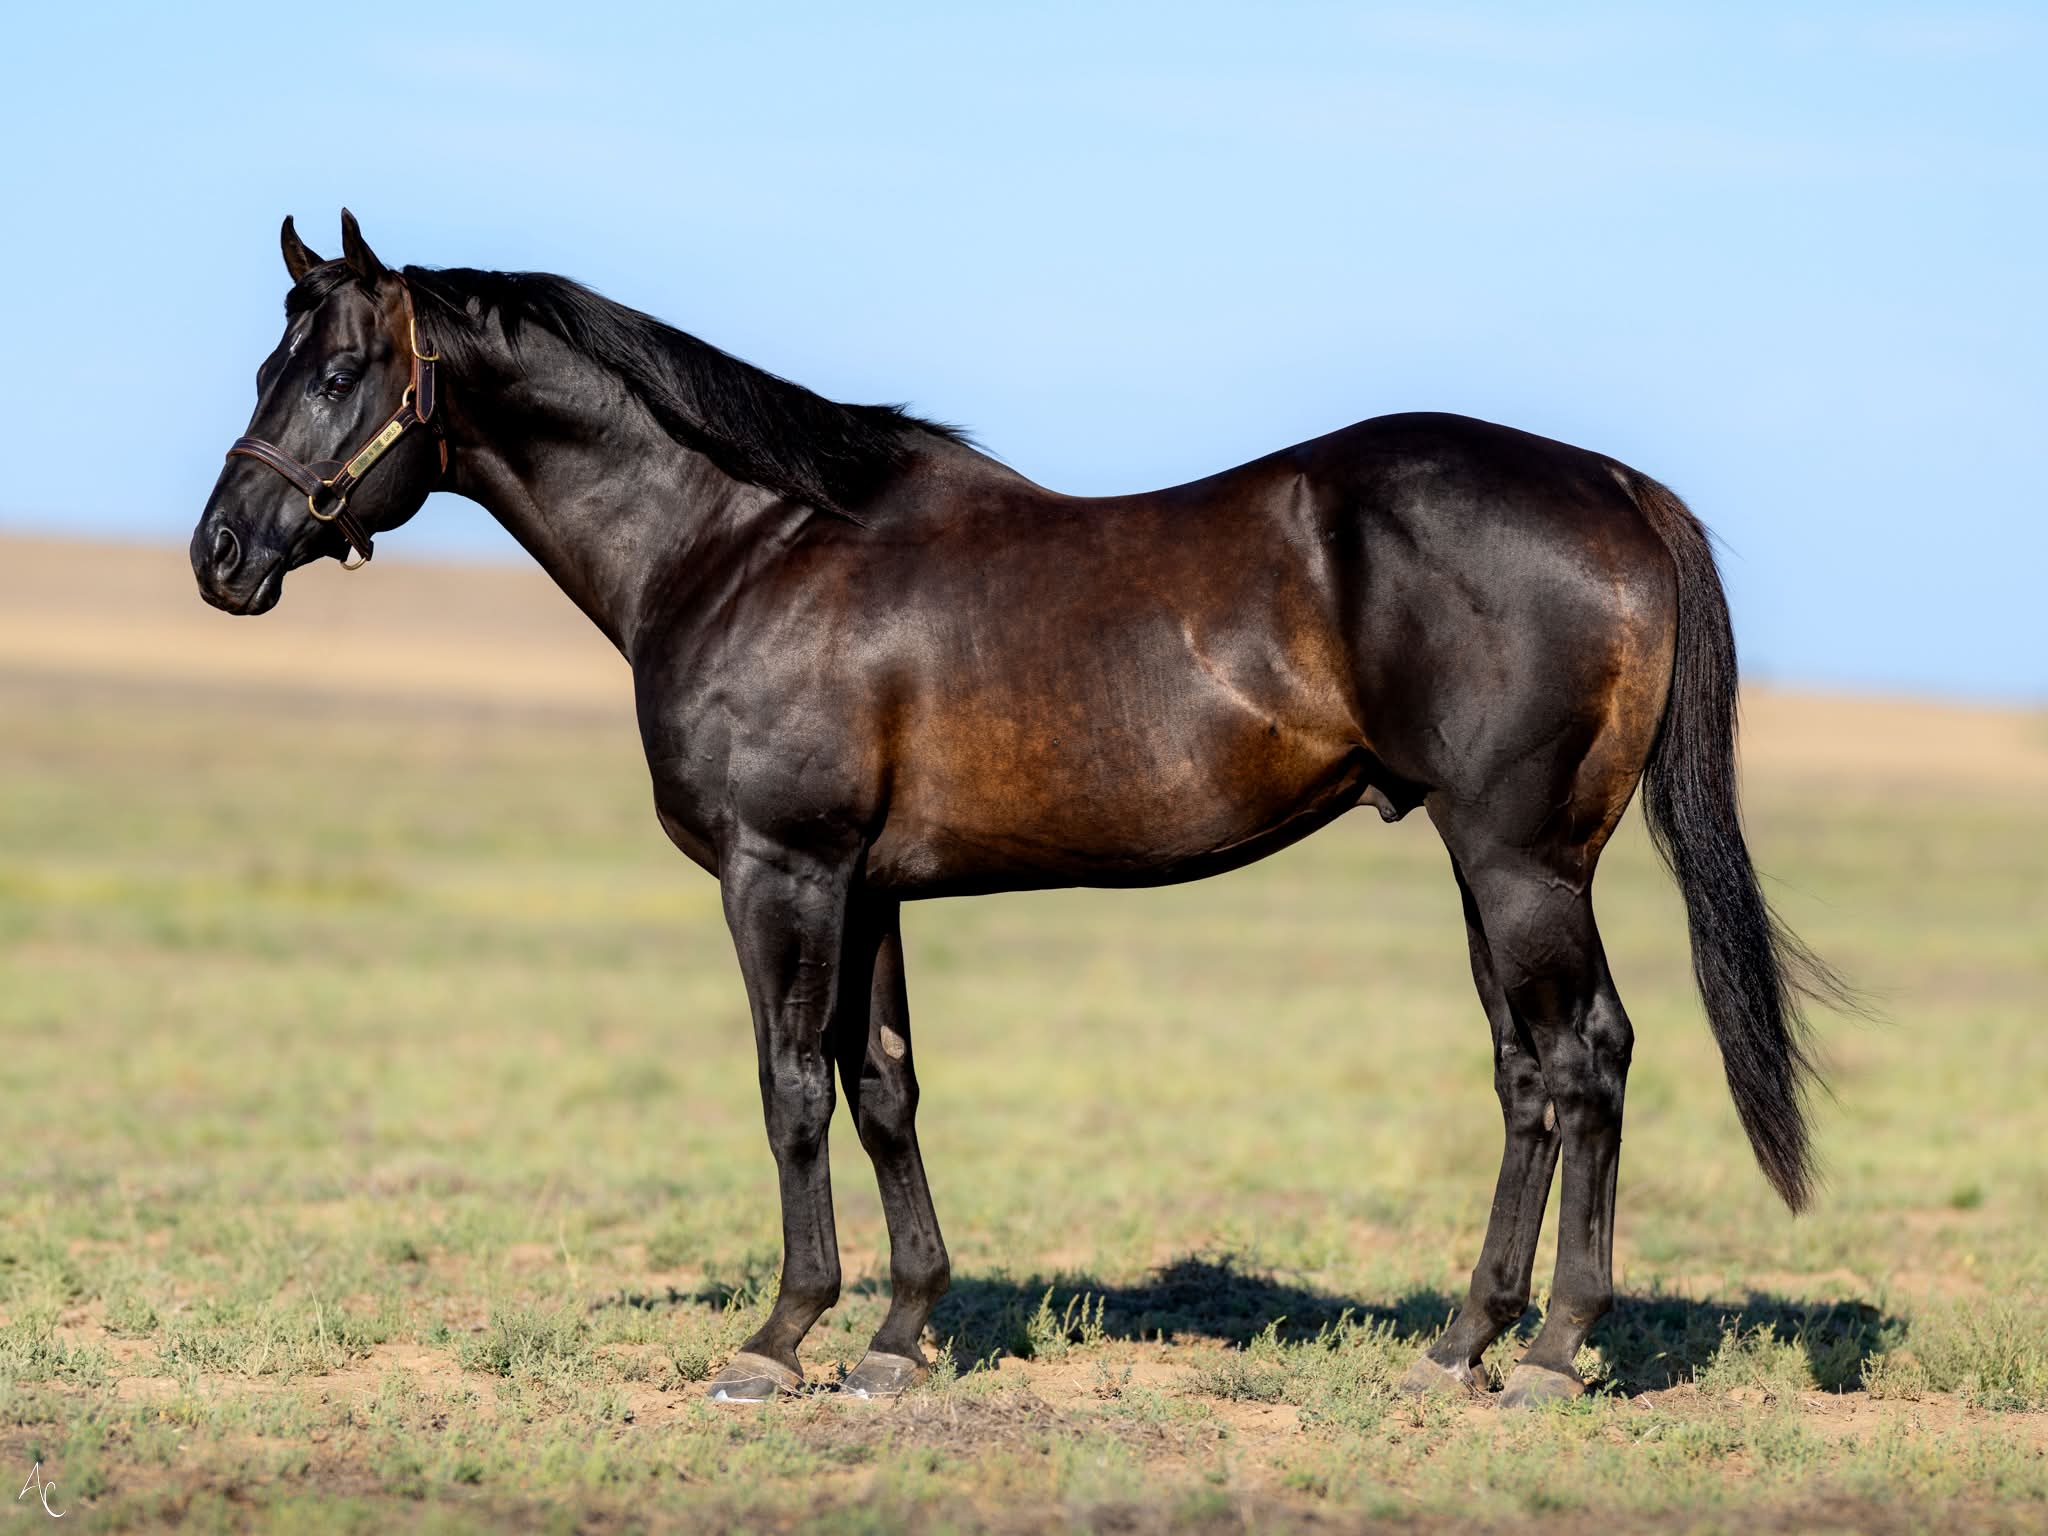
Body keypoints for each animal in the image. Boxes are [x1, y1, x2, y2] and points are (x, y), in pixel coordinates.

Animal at [191, 211, 1843, 1407]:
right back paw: (1465, 1341)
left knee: (1586, 1063)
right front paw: (897, 1337)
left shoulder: (780, 873)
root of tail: (1615, 487)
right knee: (1528, 1075)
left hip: (1520, 862)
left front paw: (778, 1341)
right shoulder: (868, 888)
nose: (219, 555)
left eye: (334, 374)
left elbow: (791, 1092)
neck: (742, 542)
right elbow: (884, 1089)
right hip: (1488, 863)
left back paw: (1552, 1353)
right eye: (266, 369)